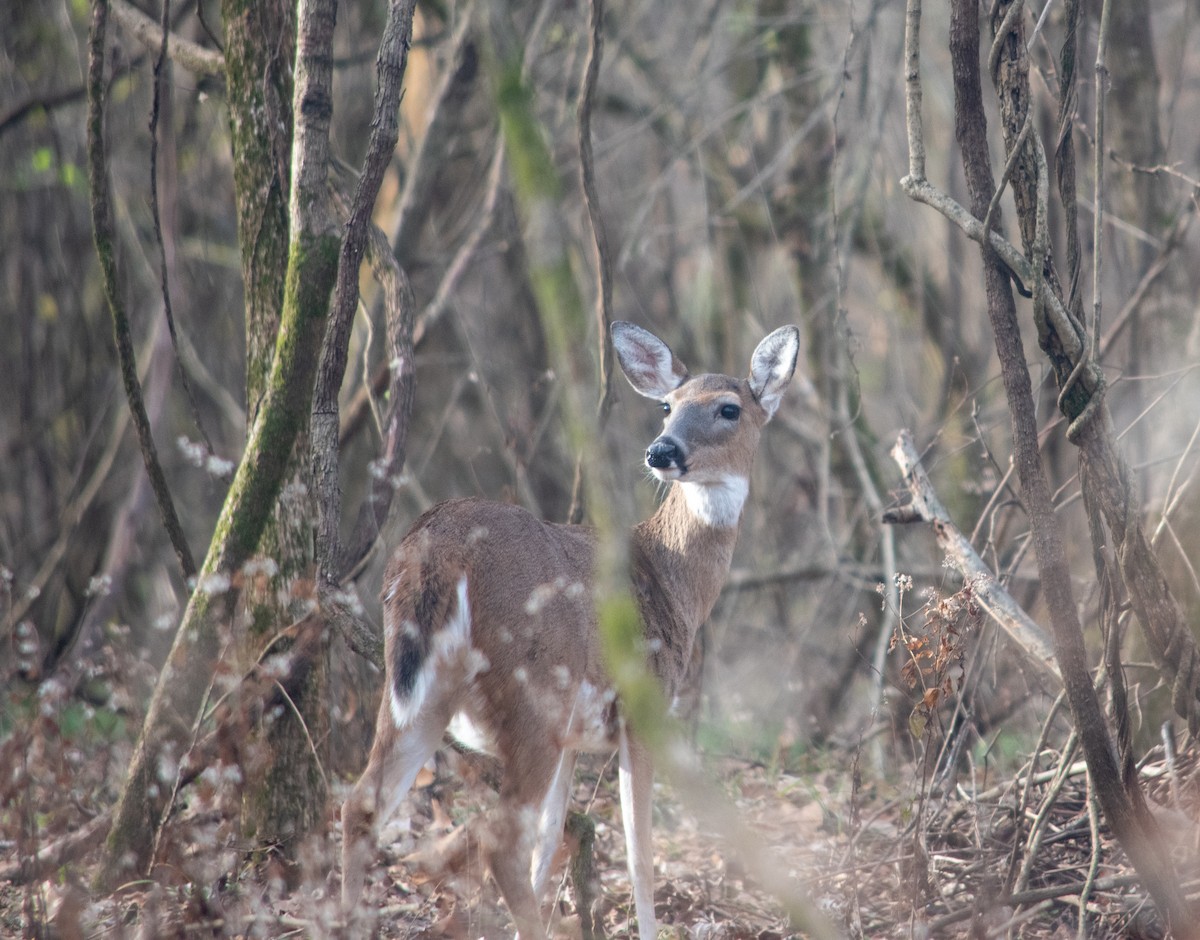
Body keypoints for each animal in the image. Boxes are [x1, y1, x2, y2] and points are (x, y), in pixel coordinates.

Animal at [341, 320, 801, 938]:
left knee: (362, 803)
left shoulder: (575, 741)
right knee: (498, 839)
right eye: (667, 406)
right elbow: (638, 851)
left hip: (414, 692)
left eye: (728, 408)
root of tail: (431, 551)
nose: (662, 450)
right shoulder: (641, 709)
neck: (672, 580)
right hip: (532, 695)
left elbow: (553, 841)